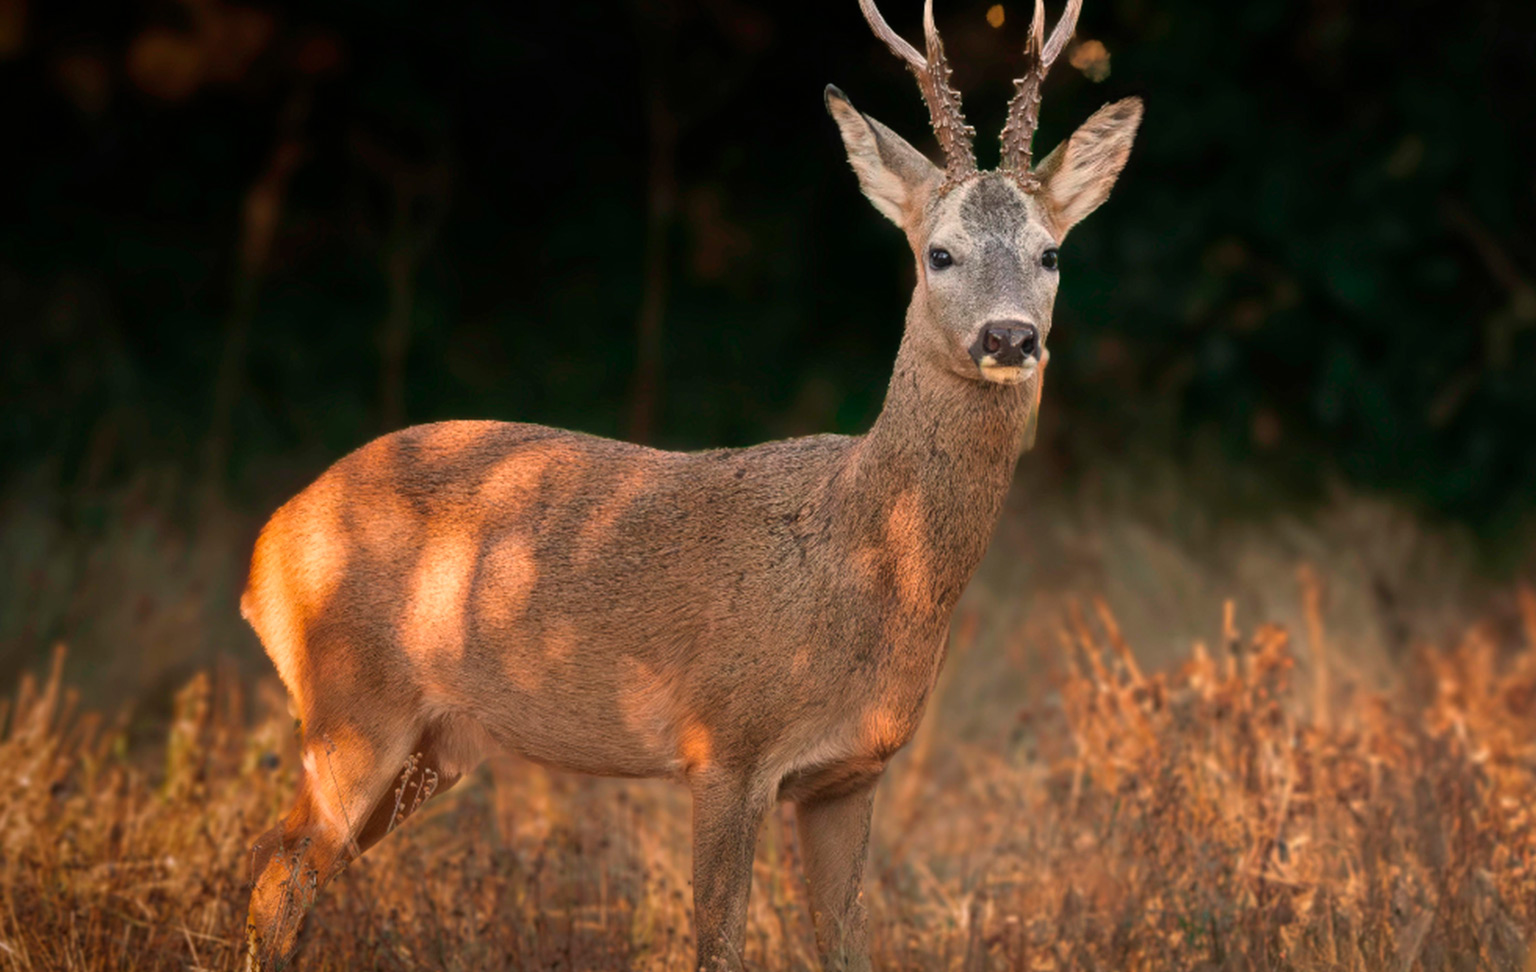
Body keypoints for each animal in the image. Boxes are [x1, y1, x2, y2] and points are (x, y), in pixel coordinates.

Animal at [240, 0, 1141, 968]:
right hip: (350, 703)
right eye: (939, 254)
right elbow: (720, 942)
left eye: (1051, 255)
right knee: (277, 874)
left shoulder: (851, 773)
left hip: (432, 745)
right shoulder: (726, 746)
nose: (1010, 338)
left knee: (289, 868)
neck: (868, 559)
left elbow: (846, 944)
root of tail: (264, 550)